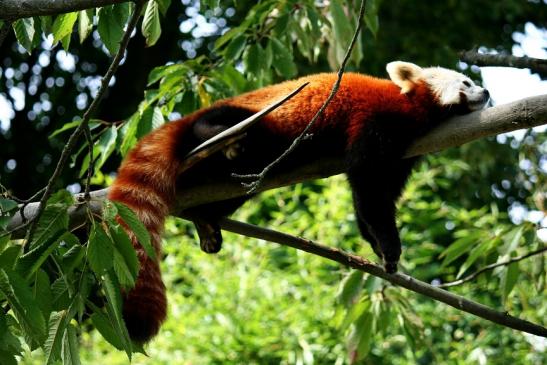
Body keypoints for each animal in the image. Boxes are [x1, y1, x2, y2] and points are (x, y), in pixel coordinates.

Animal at [108, 61, 492, 342]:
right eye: (466, 81)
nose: (487, 90)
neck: (412, 107)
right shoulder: (375, 123)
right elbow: (368, 191)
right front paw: (388, 244)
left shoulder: (404, 154)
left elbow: (374, 199)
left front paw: (376, 245)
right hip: (243, 118)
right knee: (220, 125)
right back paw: (220, 136)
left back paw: (205, 219)